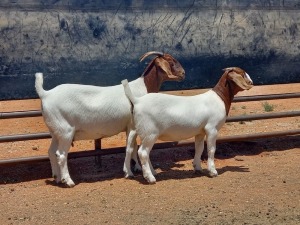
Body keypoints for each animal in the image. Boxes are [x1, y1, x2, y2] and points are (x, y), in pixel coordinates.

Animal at [35, 51, 185, 186]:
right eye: (170, 61)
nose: (183, 73)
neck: (141, 89)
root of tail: (46, 94)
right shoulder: (131, 125)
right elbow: (130, 148)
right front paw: (129, 172)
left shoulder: (130, 127)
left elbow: (134, 147)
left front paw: (137, 168)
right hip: (66, 132)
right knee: (61, 155)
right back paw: (68, 181)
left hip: (56, 131)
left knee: (51, 152)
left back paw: (57, 177)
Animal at [122, 67, 253, 183]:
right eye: (242, 73)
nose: (251, 82)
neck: (219, 98)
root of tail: (137, 101)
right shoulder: (212, 128)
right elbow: (211, 150)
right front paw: (212, 171)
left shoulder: (200, 132)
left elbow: (199, 148)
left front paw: (198, 167)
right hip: (150, 132)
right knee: (143, 152)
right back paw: (150, 178)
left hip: (135, 129)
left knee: (131, 149)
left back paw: (134, 173)